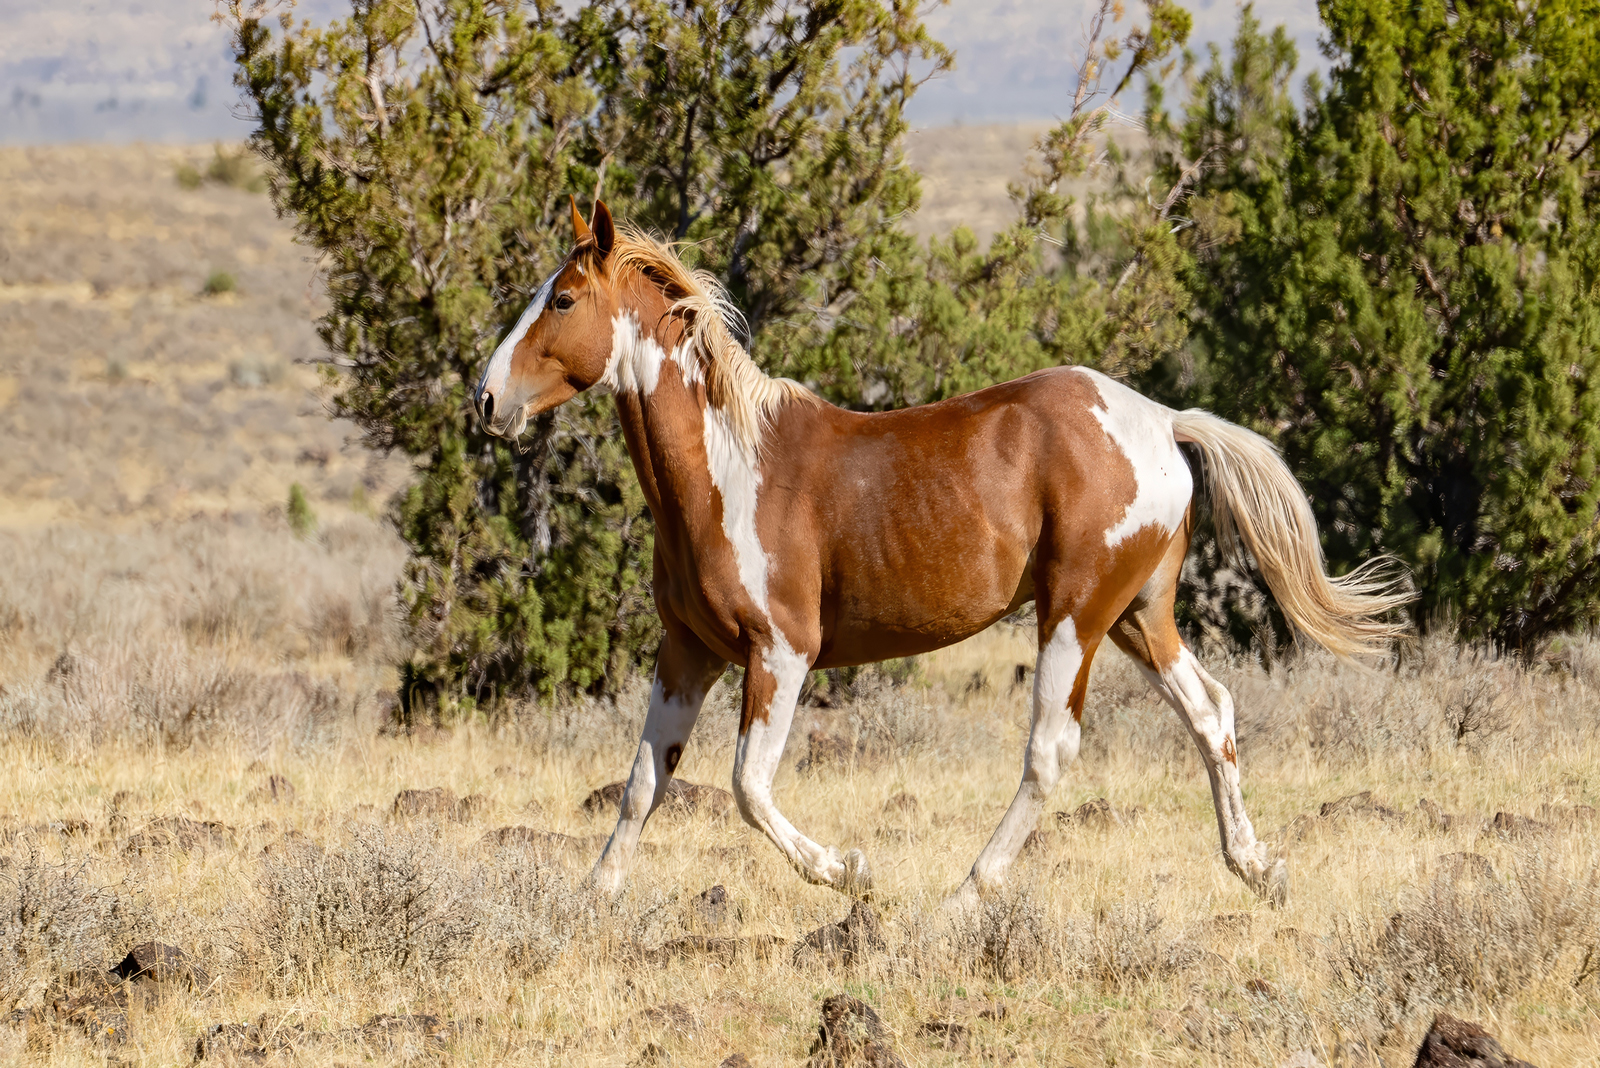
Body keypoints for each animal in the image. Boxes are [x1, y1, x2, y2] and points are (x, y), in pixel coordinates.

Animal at [467, 199, 1408, 908]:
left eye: (562, 300)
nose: (485, 400)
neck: (727, 469)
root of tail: (1165, 422)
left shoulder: (781, 652)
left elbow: (746, 786)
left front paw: (848, 871)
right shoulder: (688, 652)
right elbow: (644, 781)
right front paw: (594, 897)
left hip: (1075, 614)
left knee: (1051, 752)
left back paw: (966, 894)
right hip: (1139, 615)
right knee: (1211, 713)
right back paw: (1256, 868)